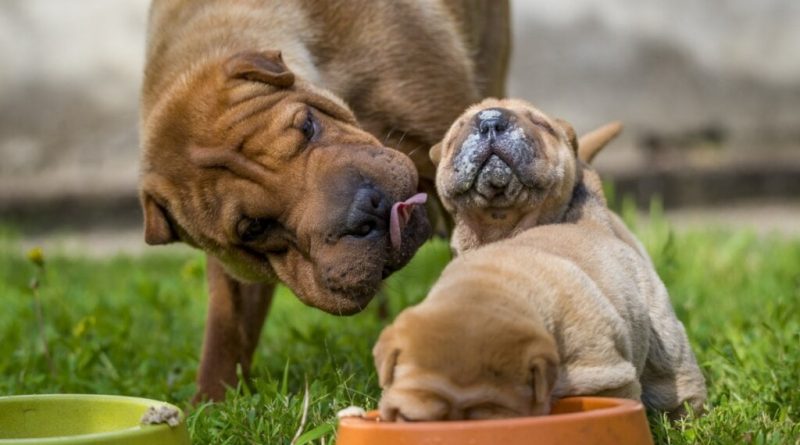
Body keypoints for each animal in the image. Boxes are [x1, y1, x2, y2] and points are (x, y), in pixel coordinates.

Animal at [139, 0, 506, 400]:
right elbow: (227, 323)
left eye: (308, 126)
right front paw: (210, 402)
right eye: (254, 228)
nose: (366, 210)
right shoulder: (235, 270)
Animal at [376, 98, 708, 420]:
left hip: (662, 333)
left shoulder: (605, 373)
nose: (490, 120)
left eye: (541, 124)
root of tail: (597, 221)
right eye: (455, 131)